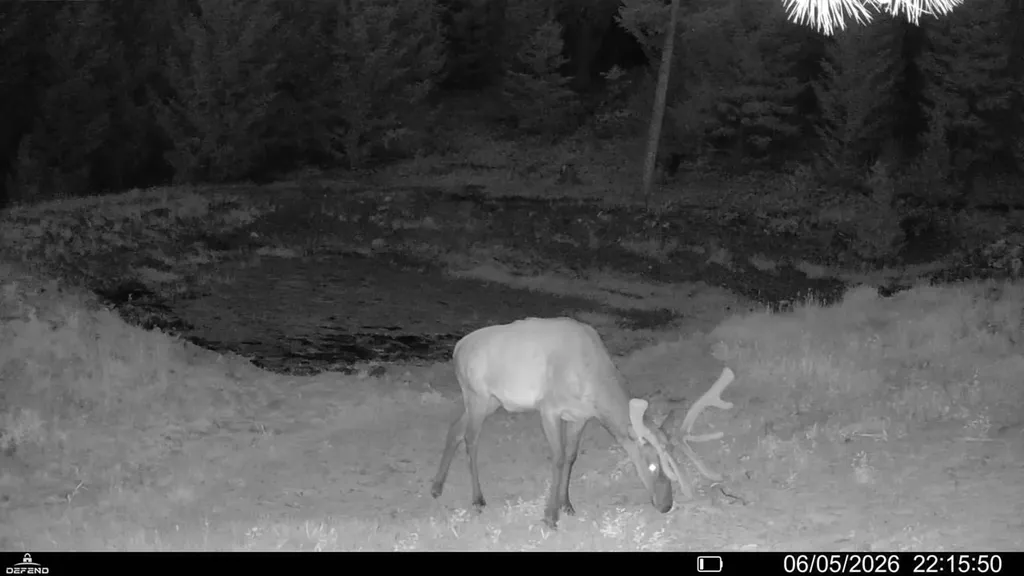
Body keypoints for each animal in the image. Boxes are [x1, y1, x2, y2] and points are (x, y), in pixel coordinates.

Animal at [429, 317, 736, 529]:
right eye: (651, 465)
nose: (666, 505)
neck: (592, 382)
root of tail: (456, 349)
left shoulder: (579, 416)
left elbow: (571, 456)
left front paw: (567, 505)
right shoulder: (549, 408)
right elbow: (557, 458)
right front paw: (550, 516)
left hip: (490, 400)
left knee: (454, 428)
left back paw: (436, 487)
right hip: (477, 395)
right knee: (470, 439)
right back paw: (477, 499)